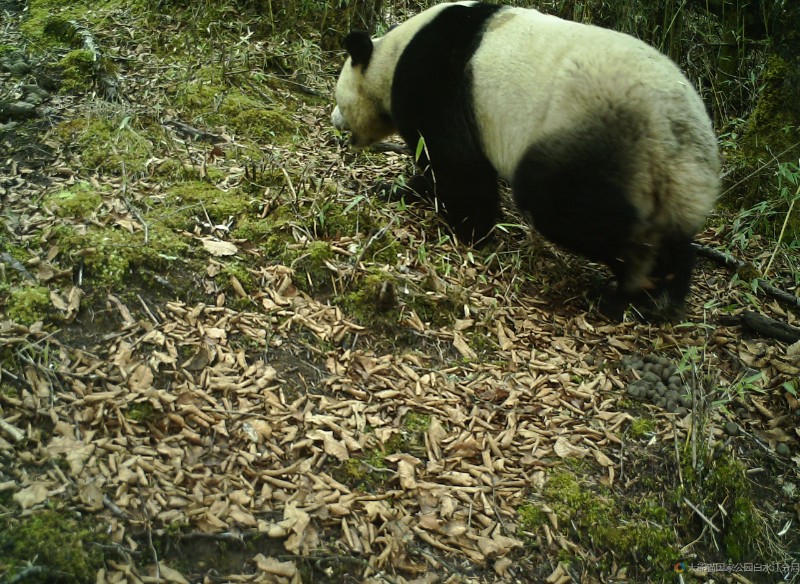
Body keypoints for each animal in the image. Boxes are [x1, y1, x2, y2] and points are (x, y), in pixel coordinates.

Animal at [332, 1, 720, 320]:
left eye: (339, 98)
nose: (335, 120)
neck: (393, 53)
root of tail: (680, 142)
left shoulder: (435, 79)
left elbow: (454, 160)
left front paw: (470, 231)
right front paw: (397, 189)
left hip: (596, 138)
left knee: (561, 205)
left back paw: (629, 287)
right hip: (662, 179)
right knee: (673, 238)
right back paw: (661, 295)